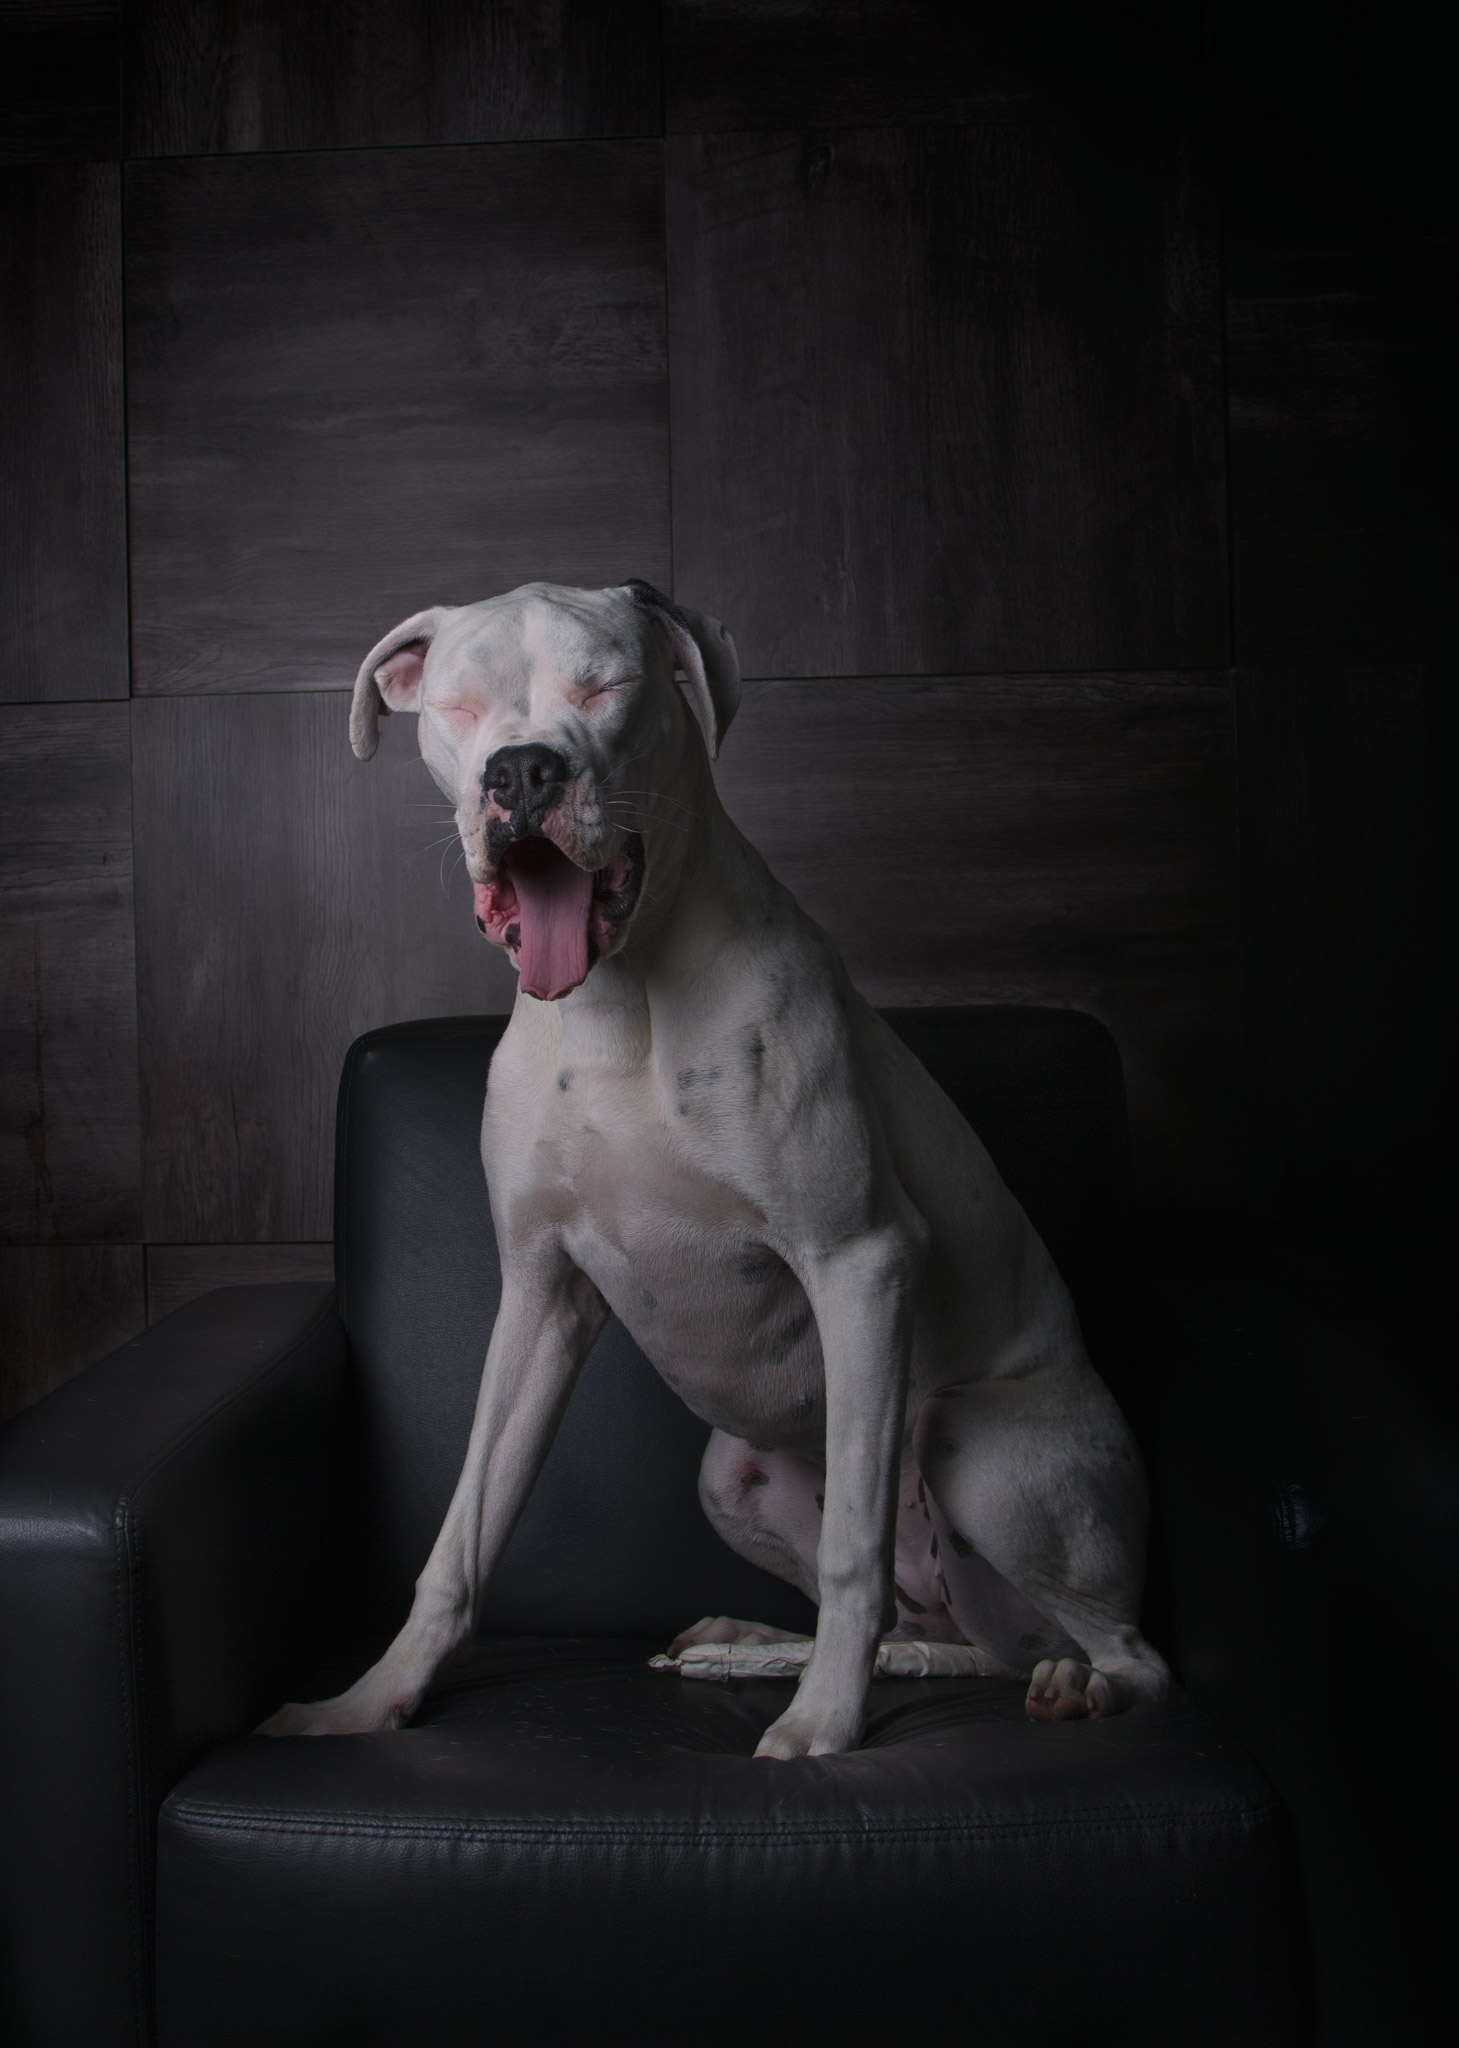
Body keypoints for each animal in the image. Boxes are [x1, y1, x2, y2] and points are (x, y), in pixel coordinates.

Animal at [262, 581, 1172, 1761]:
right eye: (459, 706)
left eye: (606, 686)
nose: (520, 771)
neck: (620, 1004)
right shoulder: (540, 1298)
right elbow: (462, 1533)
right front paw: (371, 1699)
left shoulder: (859, 1262)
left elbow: (849, 1549)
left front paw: (825, 1728)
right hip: (731, 1476)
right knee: (933, 1627)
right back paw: (750, 1644)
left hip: (977, 1444)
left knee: (1114, 1647)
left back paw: (1067, 1685)